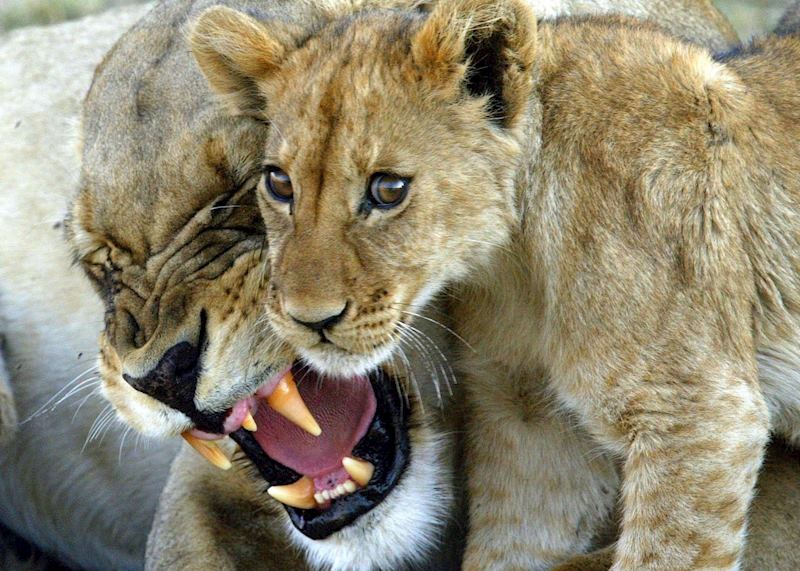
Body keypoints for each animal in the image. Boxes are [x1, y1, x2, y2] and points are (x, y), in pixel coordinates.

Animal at [186, 0, 800, 569]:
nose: (309, 321)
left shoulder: (697, 416)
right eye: (279, 183)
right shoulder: (534, 429)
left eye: (388, 189)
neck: (515, 264)